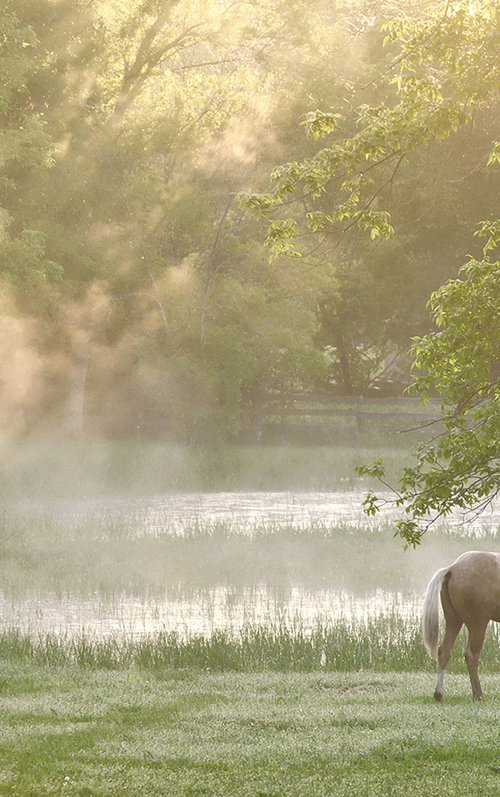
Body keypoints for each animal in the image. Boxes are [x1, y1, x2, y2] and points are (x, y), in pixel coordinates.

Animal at [422, 552, 500, 700]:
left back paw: (438, 694)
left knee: (444, 651)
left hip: (453, 620)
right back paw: (478, 695)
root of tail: (452, 568)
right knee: (471, 655)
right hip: (478, 624)